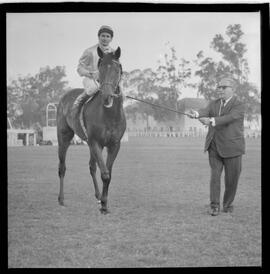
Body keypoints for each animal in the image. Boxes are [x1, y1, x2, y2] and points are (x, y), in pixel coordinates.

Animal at [56, 46, 126, 214]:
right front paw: (104, 206)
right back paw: (61, 199)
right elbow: (105, 174)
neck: (108, 115)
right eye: (100, 68)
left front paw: (103, 202)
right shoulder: (96, 142)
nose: (107, 96)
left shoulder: (114, 145)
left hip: (88, 143)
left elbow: (108, 172)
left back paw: (98, 196)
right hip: (64, 137)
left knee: (92, 167)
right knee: (62, 167)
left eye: (117, 69)